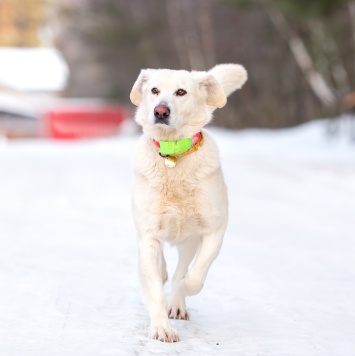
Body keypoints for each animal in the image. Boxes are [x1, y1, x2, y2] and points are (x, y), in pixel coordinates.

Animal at [130, 64, 248, 342]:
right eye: (154, 90)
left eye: (181, 92)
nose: (160, 111)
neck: (173, 154)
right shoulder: (148, 235)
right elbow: (154, 288)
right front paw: (161, 328)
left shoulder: (215, 230)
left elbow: (194, 277)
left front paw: (181, 287)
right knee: (161, 267)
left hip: (189, 241)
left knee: (181, 268)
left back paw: (177, 301)